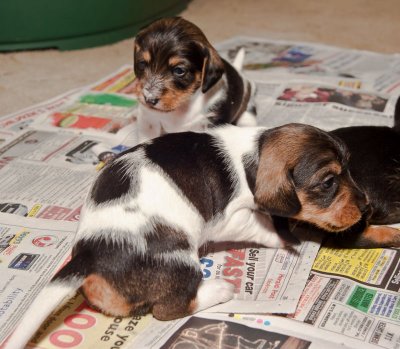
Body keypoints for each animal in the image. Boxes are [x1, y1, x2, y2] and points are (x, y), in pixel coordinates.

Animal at [3, 123, 368, 348]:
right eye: (328, 182)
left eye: (351, 168)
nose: (367, 205)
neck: (252, 154)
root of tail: (92, 252)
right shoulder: (230, 220)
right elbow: (261, 226)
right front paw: (285, 238)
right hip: (180, 261)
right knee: (171, 307)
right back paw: (219, 288)